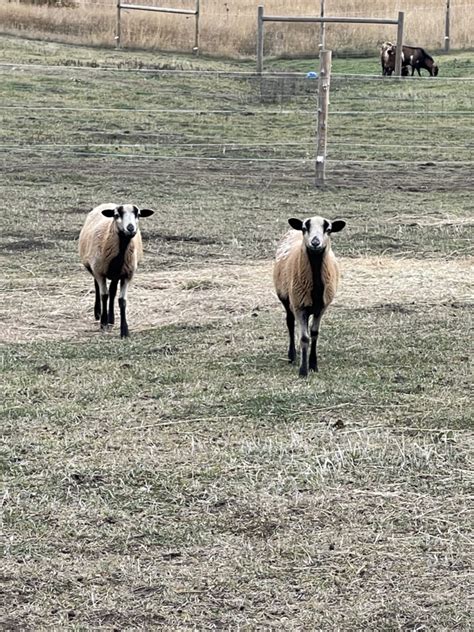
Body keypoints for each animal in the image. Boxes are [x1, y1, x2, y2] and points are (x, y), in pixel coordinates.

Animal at [78, 205, 154, 338]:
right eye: (116, 215)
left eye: (138, 214)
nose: (130, 228)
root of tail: (107, 203)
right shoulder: (99, 272)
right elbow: (104, 295)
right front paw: (103, 322)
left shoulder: (127, 275)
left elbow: (121, 300)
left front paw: (124, 330)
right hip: (94, 267)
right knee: (97, 287)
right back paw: (98, 313)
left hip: (115, 275)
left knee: (112, 291)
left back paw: (111, 319)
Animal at [272, 216, 346, 376]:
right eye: (305, 228)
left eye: (328, 229)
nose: (315, 242)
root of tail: (292, 230)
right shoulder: (299, 306)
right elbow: (304, 338)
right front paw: (303, 371)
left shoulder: (322, 307)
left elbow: (314, 334)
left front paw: (313, 365)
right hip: (286, 298)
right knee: (290, 323)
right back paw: (292, 356)